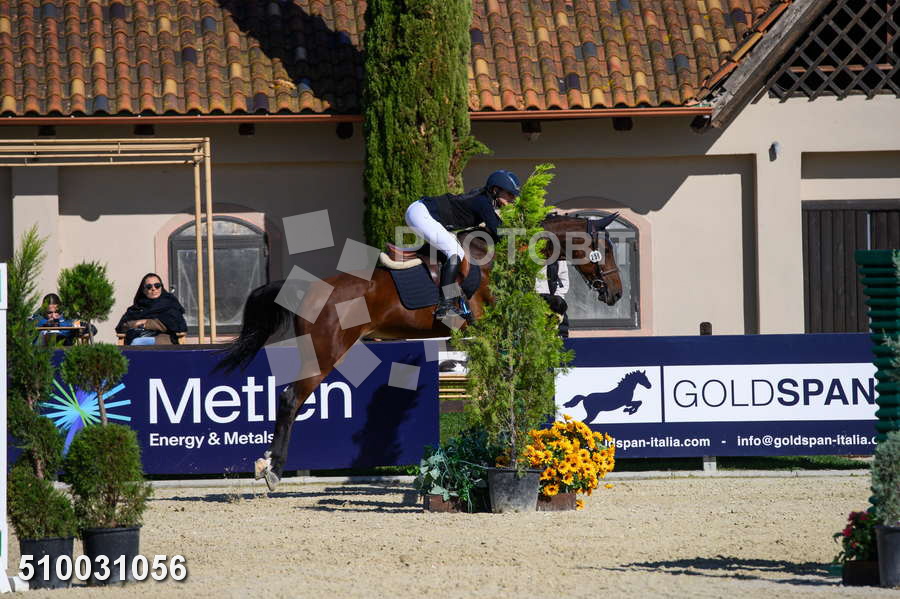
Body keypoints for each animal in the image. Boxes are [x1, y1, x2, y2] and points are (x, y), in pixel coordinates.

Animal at [216, 213, 624, 490]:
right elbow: (553, 303)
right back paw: (273, 470)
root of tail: (309, 289)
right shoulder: (489, 311)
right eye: (603, 248)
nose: (616, 293)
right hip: (325, 351)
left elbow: (555, 303)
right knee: (290, 399)